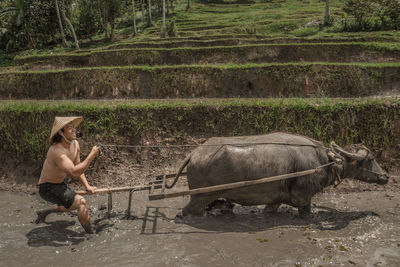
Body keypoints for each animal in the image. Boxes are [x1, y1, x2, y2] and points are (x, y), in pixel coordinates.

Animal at [167, 133, 390, 219]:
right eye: (370, 159)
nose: (386, 176)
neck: (324, 160)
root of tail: (194, 153)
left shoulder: (274, 198)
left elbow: (271, 207)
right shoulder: (304, 197)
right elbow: (306, 212)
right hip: (200, 196)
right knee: (188, 211)